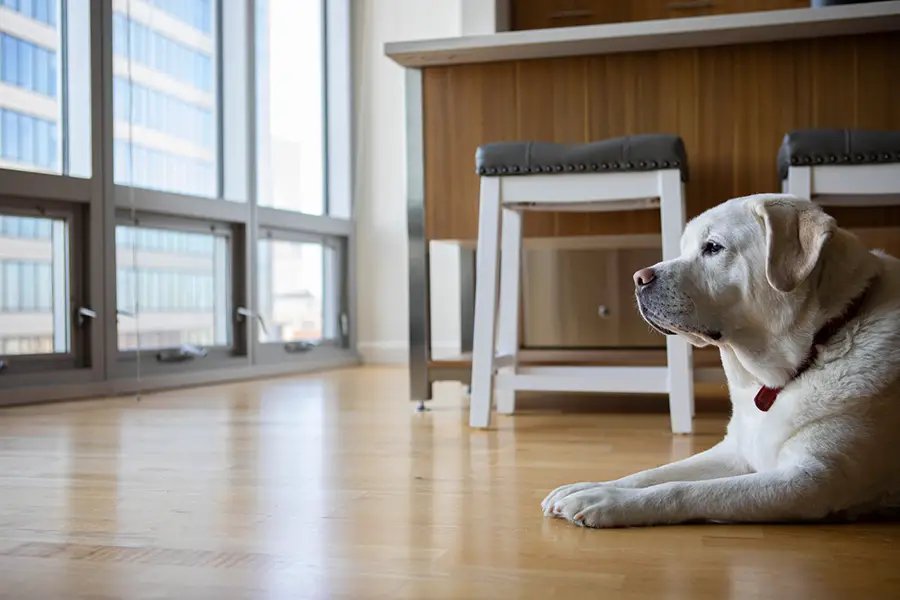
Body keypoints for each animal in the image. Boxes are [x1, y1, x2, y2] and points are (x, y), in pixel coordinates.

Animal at [540, 193, 900, 528]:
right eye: (684, 248)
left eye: (713, 248)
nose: (638, 278)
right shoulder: (734, 451)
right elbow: (653, 473)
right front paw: (588, 486)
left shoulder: (811, 479)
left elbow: (682, 489)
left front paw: (606, 501)